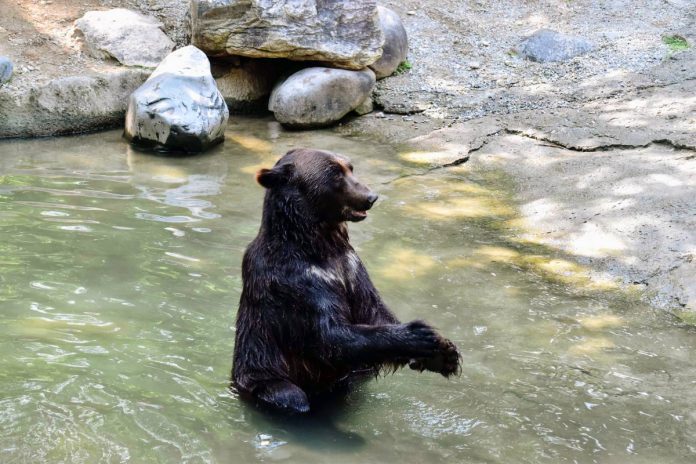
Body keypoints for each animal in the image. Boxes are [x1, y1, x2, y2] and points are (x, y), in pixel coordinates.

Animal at [234, 148, 462, 414]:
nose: (370, 196)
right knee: (291, 395)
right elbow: (330, 336)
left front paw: (444, 353)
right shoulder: (293, 281)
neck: (318, 245)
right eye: (334, 173)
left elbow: (372, 311)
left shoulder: (350, 267)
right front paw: (419, 335)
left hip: (357, 372)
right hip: (263, 374)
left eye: (350, 167)